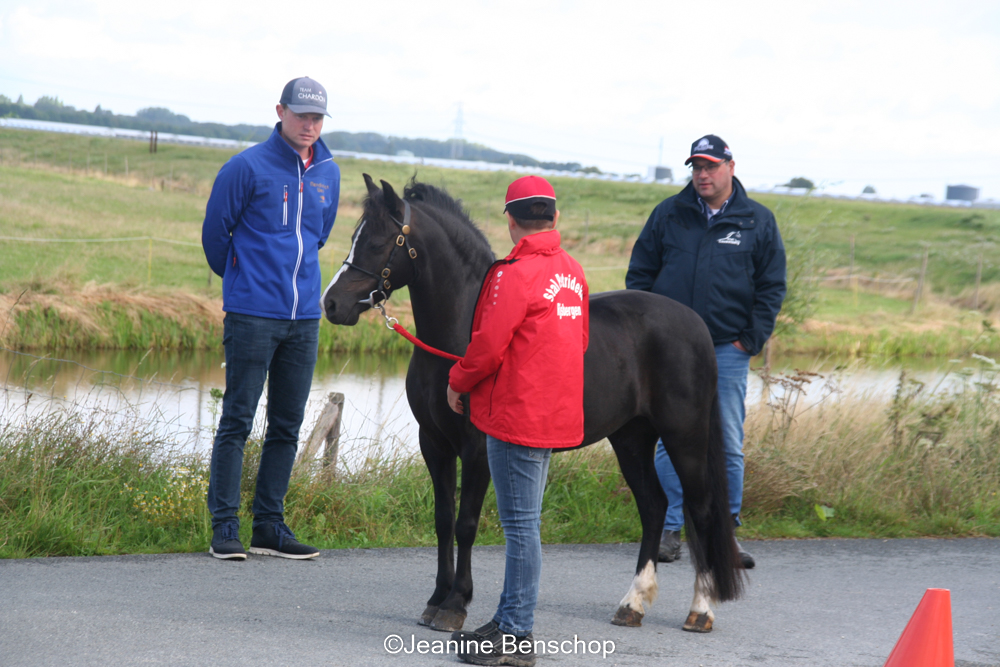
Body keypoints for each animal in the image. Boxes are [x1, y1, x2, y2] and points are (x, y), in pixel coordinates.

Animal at [322, 175, 744, 636]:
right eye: (355, 236)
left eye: (379, 242)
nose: (332, 304)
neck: (461, 336)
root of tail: (696, 324)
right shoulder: (433, 443)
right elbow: (442, 520)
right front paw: (435, 600)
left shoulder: (477, 449)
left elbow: (466, 524)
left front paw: (455, 604)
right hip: (631, 438)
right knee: (654, 506)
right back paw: (632, 604)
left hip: (685, 436)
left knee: (701, 510)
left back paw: (700, 609)